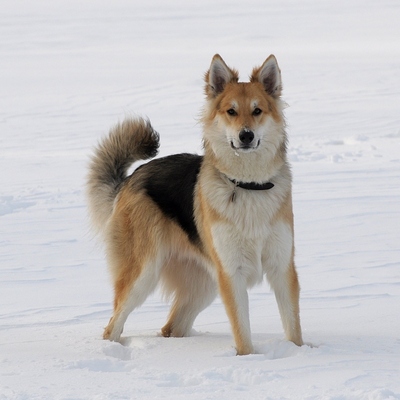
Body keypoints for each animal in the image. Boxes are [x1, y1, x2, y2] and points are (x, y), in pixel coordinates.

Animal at [86, 54, 302, 356]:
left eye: (257, 110)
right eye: (231, 112)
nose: (246, 135)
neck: (248, 185)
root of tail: (130, 179)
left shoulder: (282, 267)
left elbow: (293, 328)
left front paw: (299, 353)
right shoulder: (231, 274)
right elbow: (242, 332)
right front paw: (249, 358)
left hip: (203, 285)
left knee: (170, 328)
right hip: (143, 275)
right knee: (112, 326)